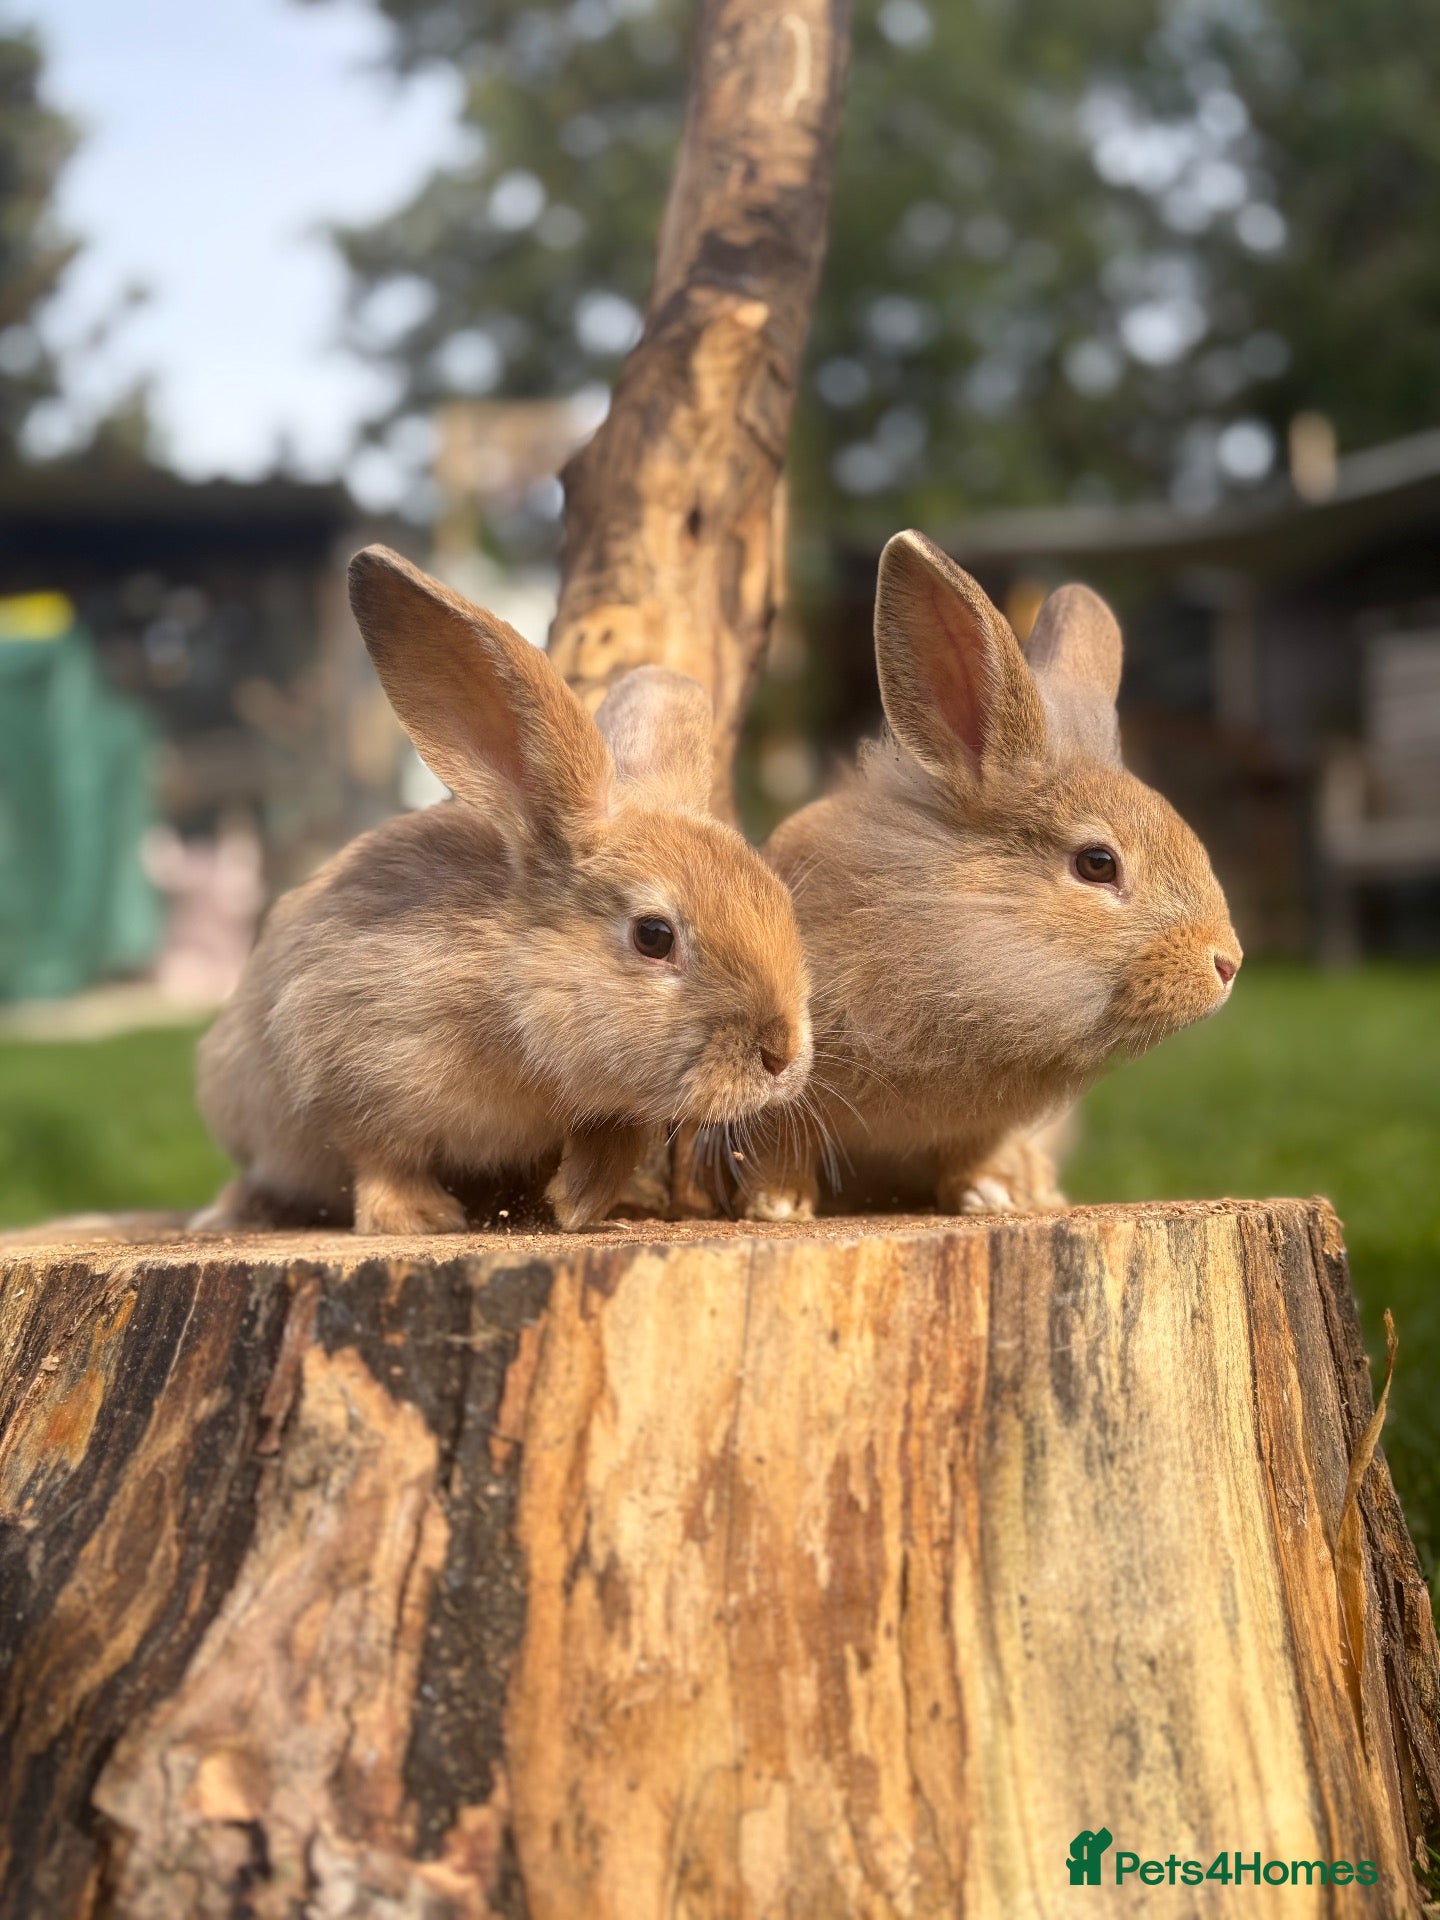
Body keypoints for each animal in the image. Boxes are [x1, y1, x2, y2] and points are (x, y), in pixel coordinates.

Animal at [196, 545, 813, 1236]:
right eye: (654, 936)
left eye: (780, 901)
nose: (782, 1054)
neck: (511, 989)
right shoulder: (348, 1069)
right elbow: (381, 1156)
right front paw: (421, 1218)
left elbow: (616, 1137)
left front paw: (577, 1203)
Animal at [740, 528, 1240, 1221]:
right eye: (1097, 864)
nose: (1228, 963)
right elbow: (779, 1140)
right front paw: (777, 1205)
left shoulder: (982, 1123)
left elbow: (971, 1151)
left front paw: (991, 1196)